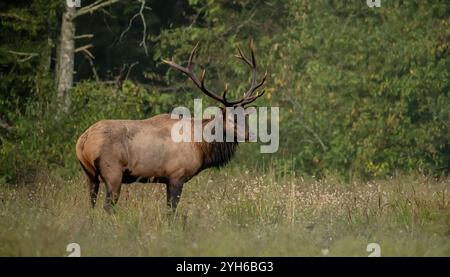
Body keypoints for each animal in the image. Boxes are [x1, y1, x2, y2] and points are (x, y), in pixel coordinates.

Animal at [75, 42, 268, 212]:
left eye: (246, 117)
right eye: (232, 118)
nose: (250, 134)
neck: (201, 146)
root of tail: (83, 141)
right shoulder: (176, 175)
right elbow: (171, 211)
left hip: (89, 174)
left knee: (91, 206)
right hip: (113, 171)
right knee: (107, 207)